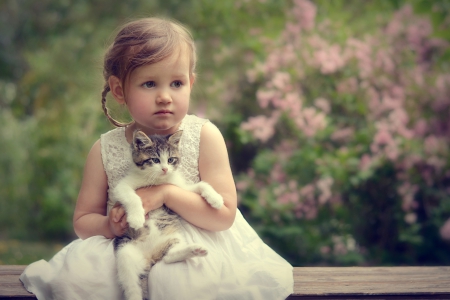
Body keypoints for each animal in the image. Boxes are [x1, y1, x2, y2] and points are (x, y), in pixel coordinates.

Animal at [110, 130, 223, 300]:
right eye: (155, 160)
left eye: (170, 160)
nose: (165, 169)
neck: (157, 180)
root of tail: (150, 256)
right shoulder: (121, 186)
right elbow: (132, 196)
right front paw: (136, 218)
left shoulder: (180, 188)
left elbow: (201, 185)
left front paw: (215, 199)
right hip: (124, 252)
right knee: (131, 285)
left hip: (173, 236)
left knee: (169, 257)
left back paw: (194, 250)